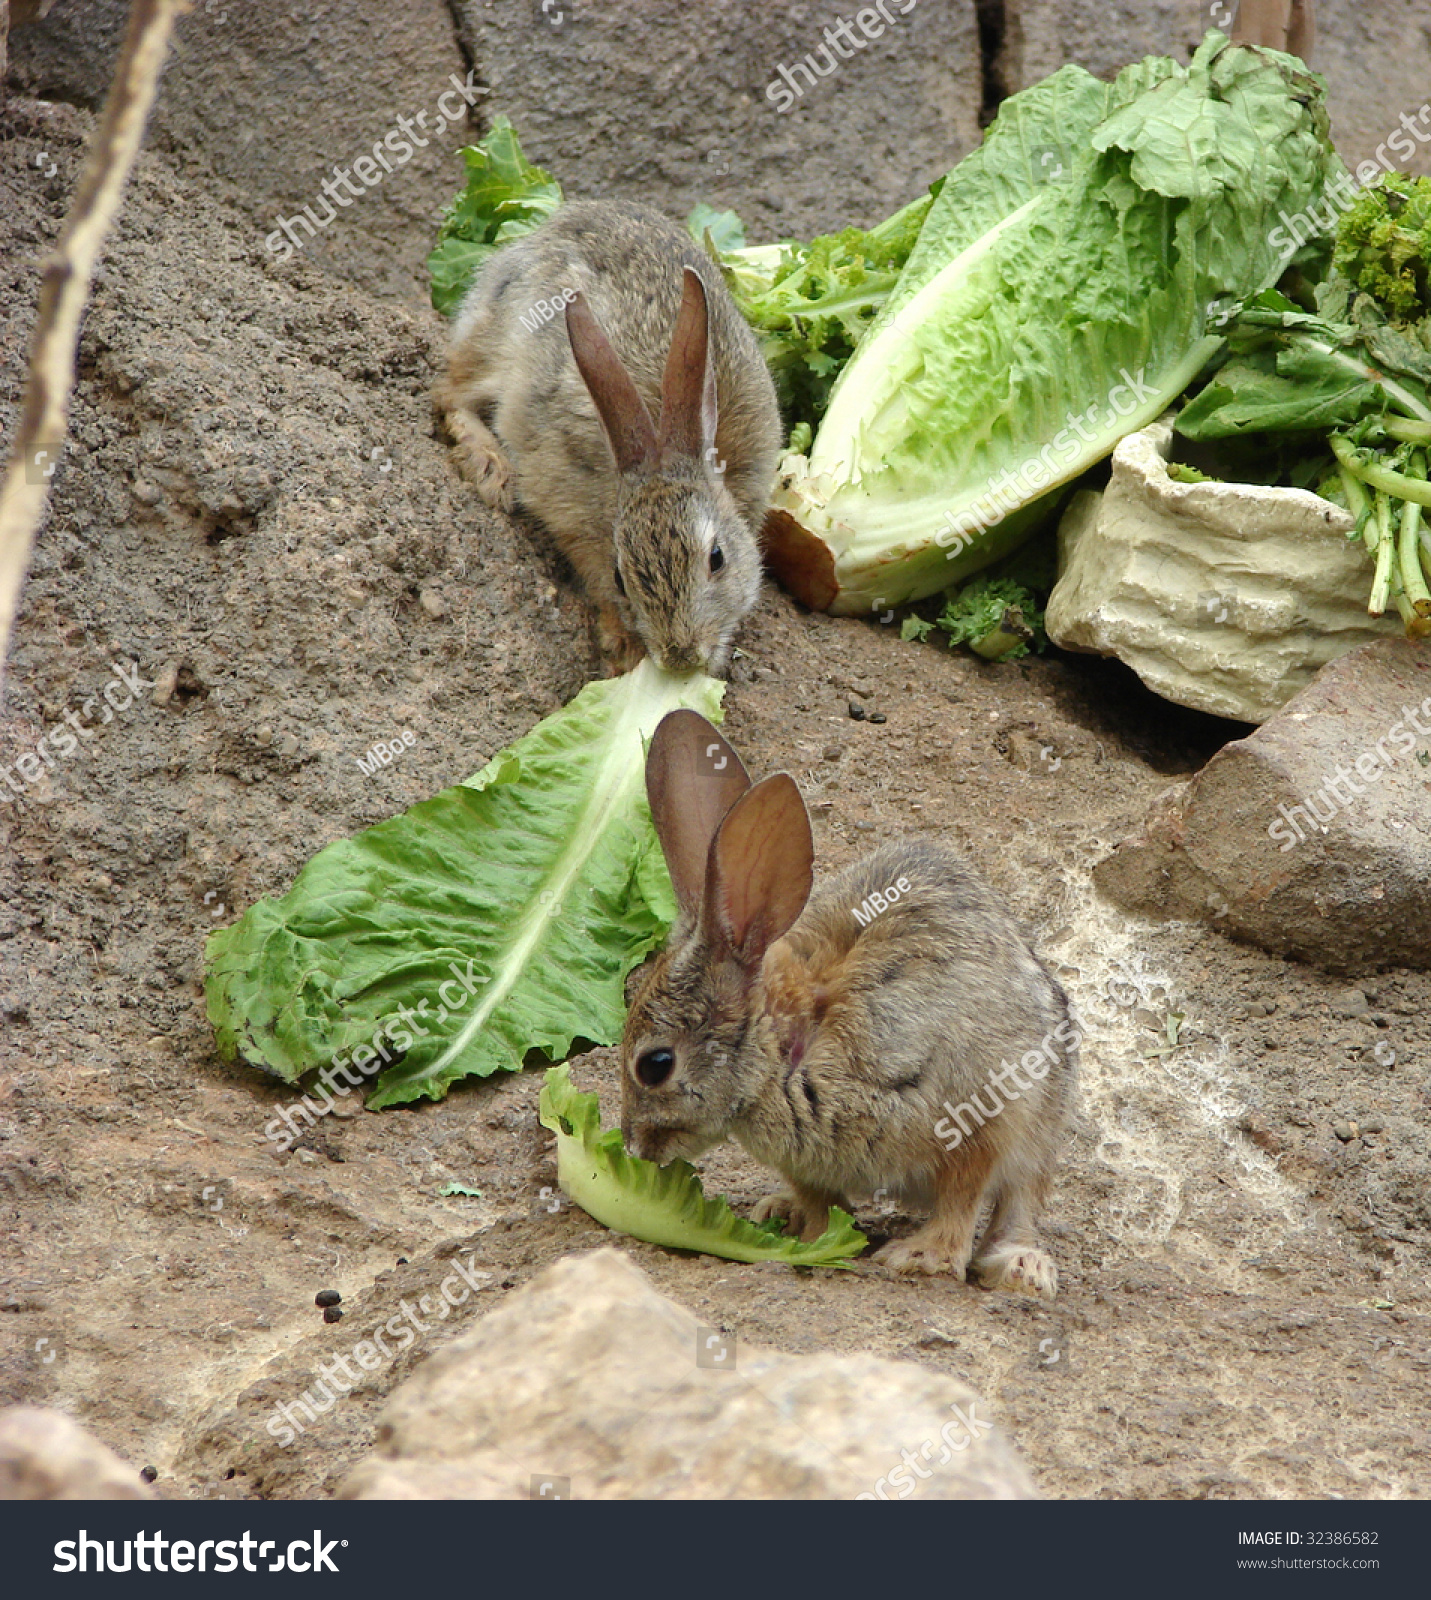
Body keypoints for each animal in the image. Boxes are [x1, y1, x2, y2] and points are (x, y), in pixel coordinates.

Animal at [435, 200, 784, 675]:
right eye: (622, 578)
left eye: (718, 559)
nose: (681, 656)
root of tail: (548, 228)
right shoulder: (568, 510)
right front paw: (622, 645)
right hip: (496, 346)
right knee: (449, 392)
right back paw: (492, 469)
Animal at [621, 713, 1082, 1299]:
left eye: (655, 1065)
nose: (634, 1147)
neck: (791, 1046)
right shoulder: (806, 1165)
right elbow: (821, 1201)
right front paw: (814, 1239)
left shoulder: (975, 1109)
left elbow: (962, 1198)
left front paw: (923, 1258)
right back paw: (780, 1211)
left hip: (1044, 1114)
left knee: (1019, 1203)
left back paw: (1021, 1267)